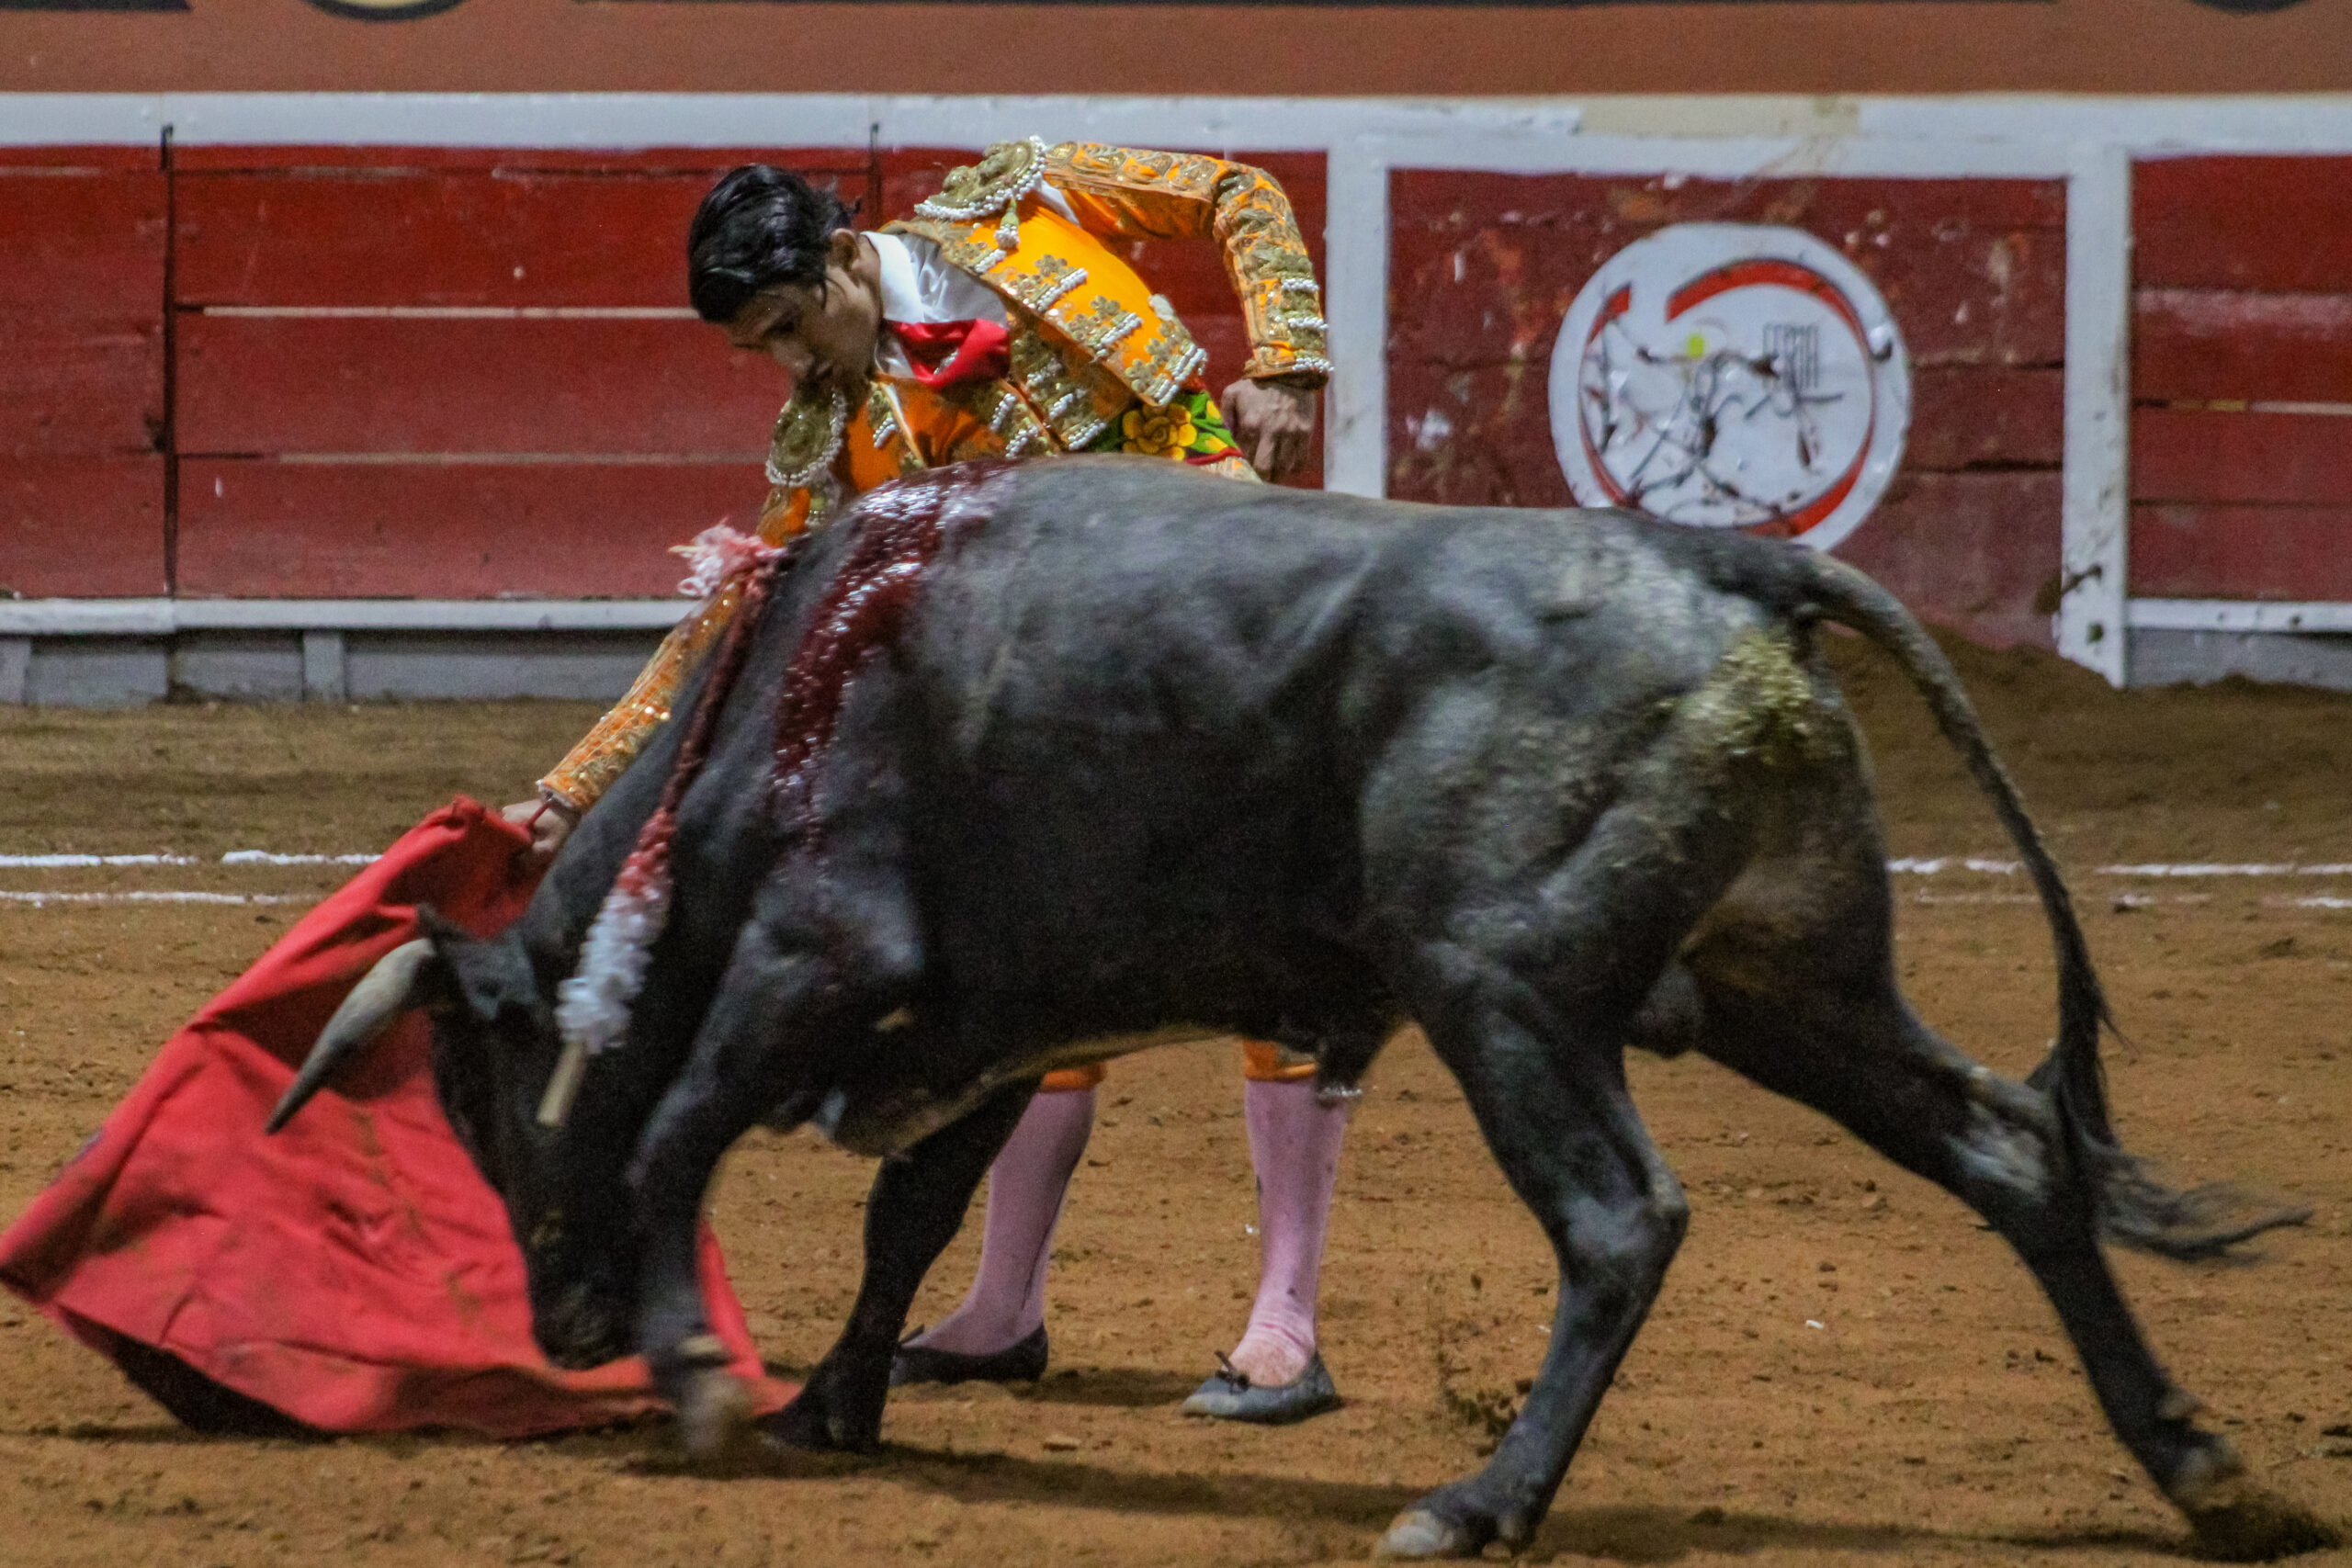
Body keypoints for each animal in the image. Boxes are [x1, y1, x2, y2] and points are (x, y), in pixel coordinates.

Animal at [266, 456, 2324, 1561]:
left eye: (480, 1097)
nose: (564, 1321)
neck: (771, 697)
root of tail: (1715, 557)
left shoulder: (828, 955)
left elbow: (687, 1121)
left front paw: (705, 1375)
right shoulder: (990, 1012)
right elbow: (908, 1201)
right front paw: (832, 1402)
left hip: (1506, 994)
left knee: (1619, 1220)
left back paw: (1473, 1498)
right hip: (1790, 985)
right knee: (2013, 1153)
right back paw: (2209, 1469)